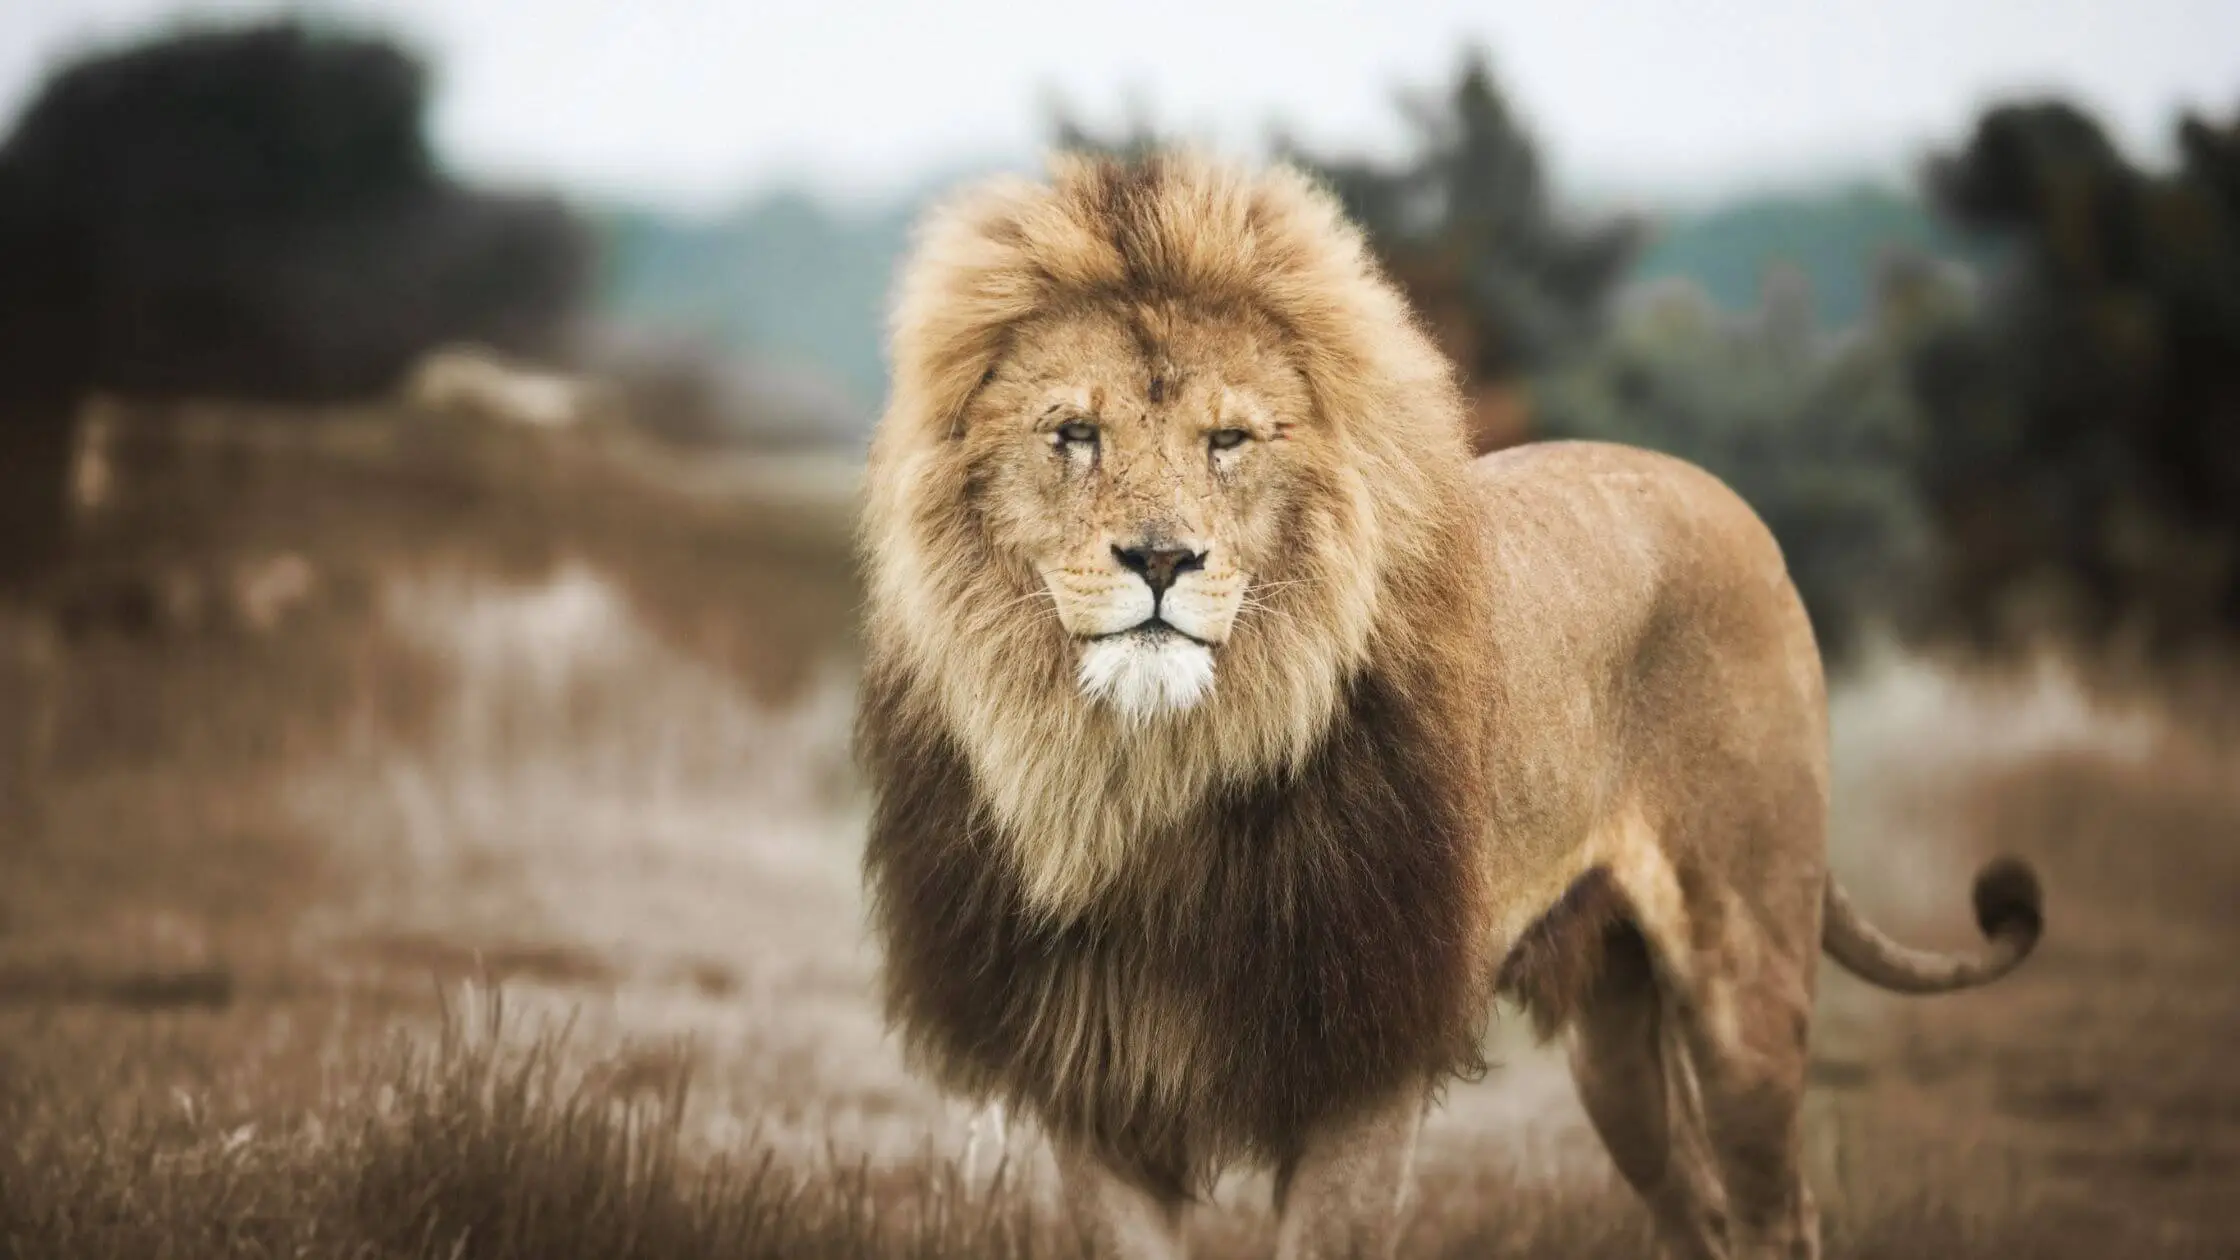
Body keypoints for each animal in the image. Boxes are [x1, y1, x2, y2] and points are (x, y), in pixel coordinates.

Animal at [854, 152, 2043, 1260]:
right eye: (1074, 434)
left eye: (1227, 441)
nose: (1160, 560)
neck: (1154, 771)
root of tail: (1730, 505)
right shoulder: (1092, 1079)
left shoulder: (1362, 1058)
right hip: (1612, 1042)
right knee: (1693, 1214)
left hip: (1745, 967)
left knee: (1774, 1214)